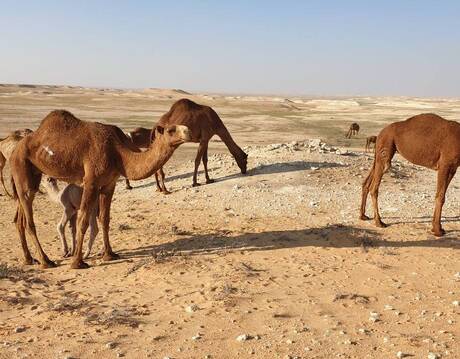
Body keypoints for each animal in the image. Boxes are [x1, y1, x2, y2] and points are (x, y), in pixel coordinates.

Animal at [10, 110, 190, 270]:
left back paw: (29, 259)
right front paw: (77, 262)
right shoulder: (91, 182)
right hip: (21, 165)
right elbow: (83, 220)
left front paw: (109, 254)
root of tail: (15, 149)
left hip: (32, 175)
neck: (118, 153)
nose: (187, 131)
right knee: (29, 219)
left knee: (20, 217)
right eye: (170, 130)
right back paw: (46, 261)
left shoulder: (109, 184)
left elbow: (105, 218)